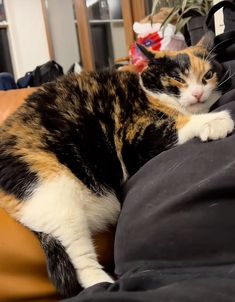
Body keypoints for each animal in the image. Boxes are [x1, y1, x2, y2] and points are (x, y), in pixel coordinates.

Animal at [0, 31, 233, 296]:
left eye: (208, 75)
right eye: (176, 78)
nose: (198, 94)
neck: (151, 96)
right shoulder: (134, 139)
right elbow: (177, 125)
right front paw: (214, 121)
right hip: (52, 192)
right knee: (79, 259)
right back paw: (103, 285)